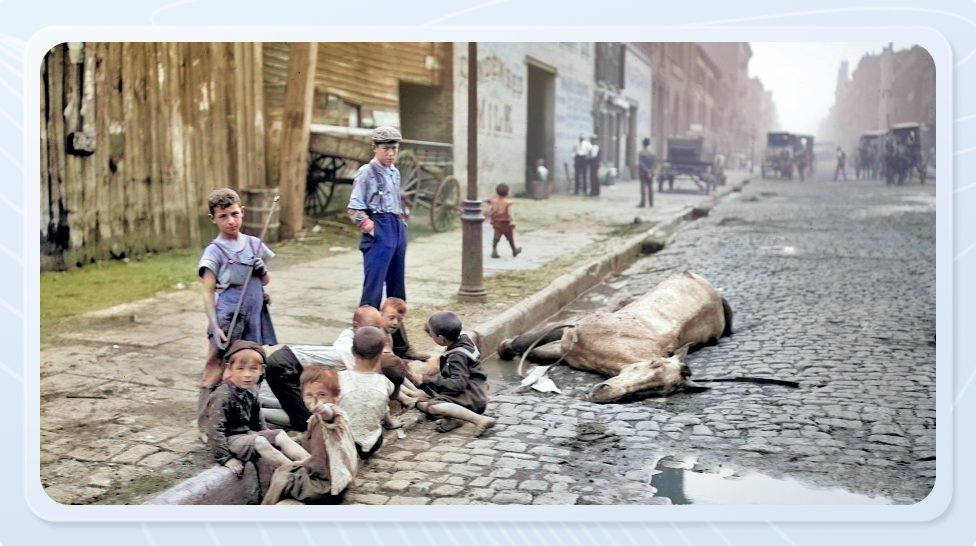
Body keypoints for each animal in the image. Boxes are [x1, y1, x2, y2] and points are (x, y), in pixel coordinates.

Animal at [496, 270, 732, 402]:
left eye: (657, 390)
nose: (601, 392)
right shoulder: (570, 331)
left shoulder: (565, 350)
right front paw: (504, 347)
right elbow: (525, 342)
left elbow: (533, 351)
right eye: (654, 363)